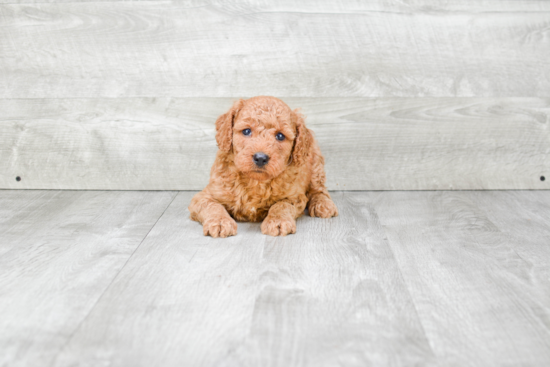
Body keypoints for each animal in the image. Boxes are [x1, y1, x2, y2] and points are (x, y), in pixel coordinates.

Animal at [190, 95, 338, 239]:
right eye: (246, 131)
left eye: (280, 136)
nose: (260, 158)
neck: (255, 181)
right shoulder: (205, 195)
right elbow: (212, 205)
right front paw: (220, 222)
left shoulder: (295, 197)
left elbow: (281, 205)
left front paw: (278, 221)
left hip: (316, 163)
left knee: (319, 189)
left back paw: (323, 204)